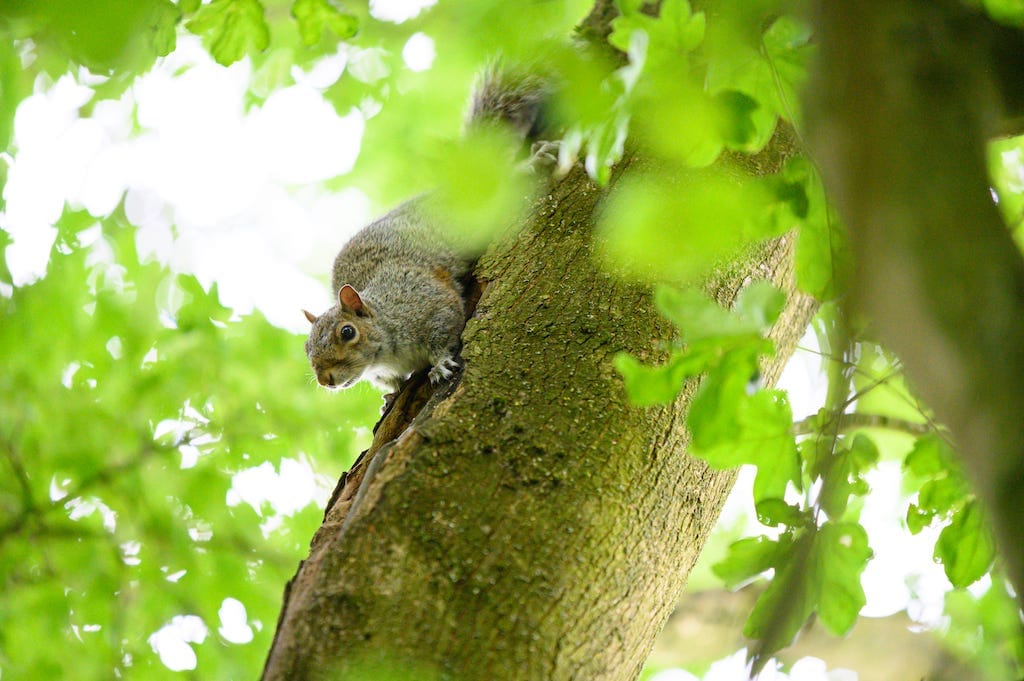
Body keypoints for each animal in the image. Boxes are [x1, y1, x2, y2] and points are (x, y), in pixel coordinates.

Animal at [305, 69, 557, 393]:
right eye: (307, 348)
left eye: (347, 332)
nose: (325, 380)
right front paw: (390, 396)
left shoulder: (426, 301)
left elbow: (445, 329)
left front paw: (439, 365)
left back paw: (532, 162)